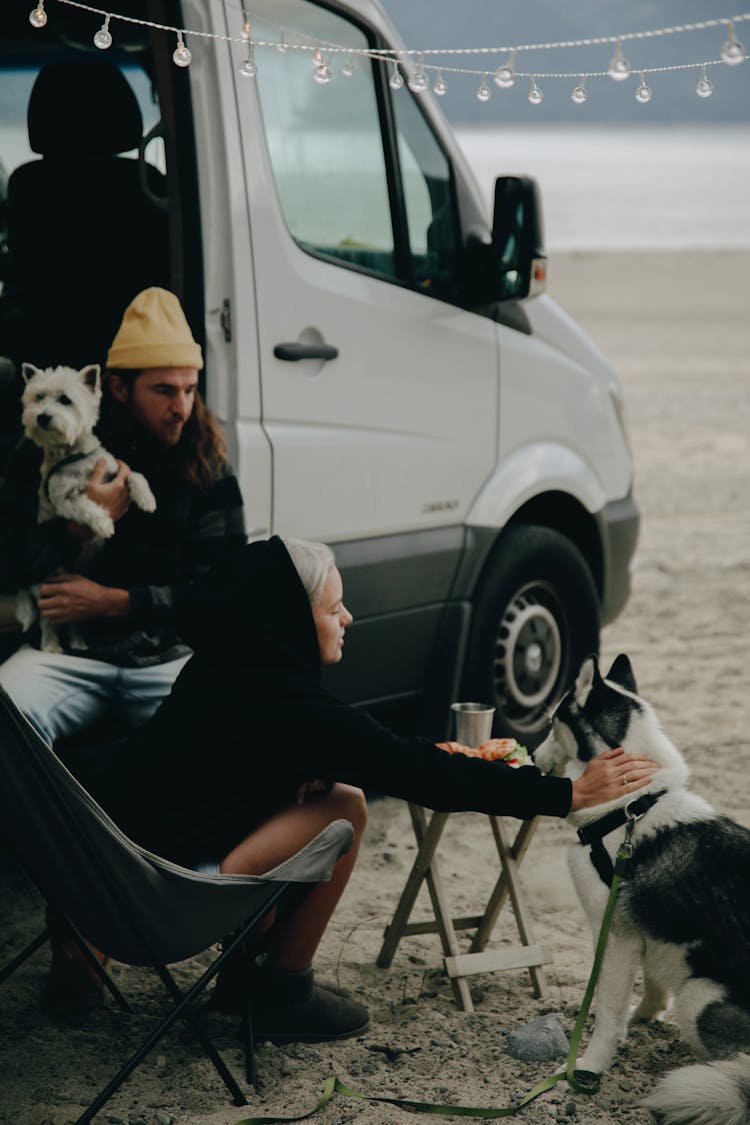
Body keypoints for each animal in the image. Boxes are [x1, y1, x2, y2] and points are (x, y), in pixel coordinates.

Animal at [17, 364, 157, 657]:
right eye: (38, 397)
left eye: (65, 400)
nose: (43, 417)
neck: (73, 454)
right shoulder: (62, 497)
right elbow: (85, 506)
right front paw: (104, 524)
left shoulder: (115, 469)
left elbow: (135, 475)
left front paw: (147, 500)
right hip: (49, 586)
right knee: (49, 621)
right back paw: (52, 646)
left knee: (76, 620)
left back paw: (80, 643)